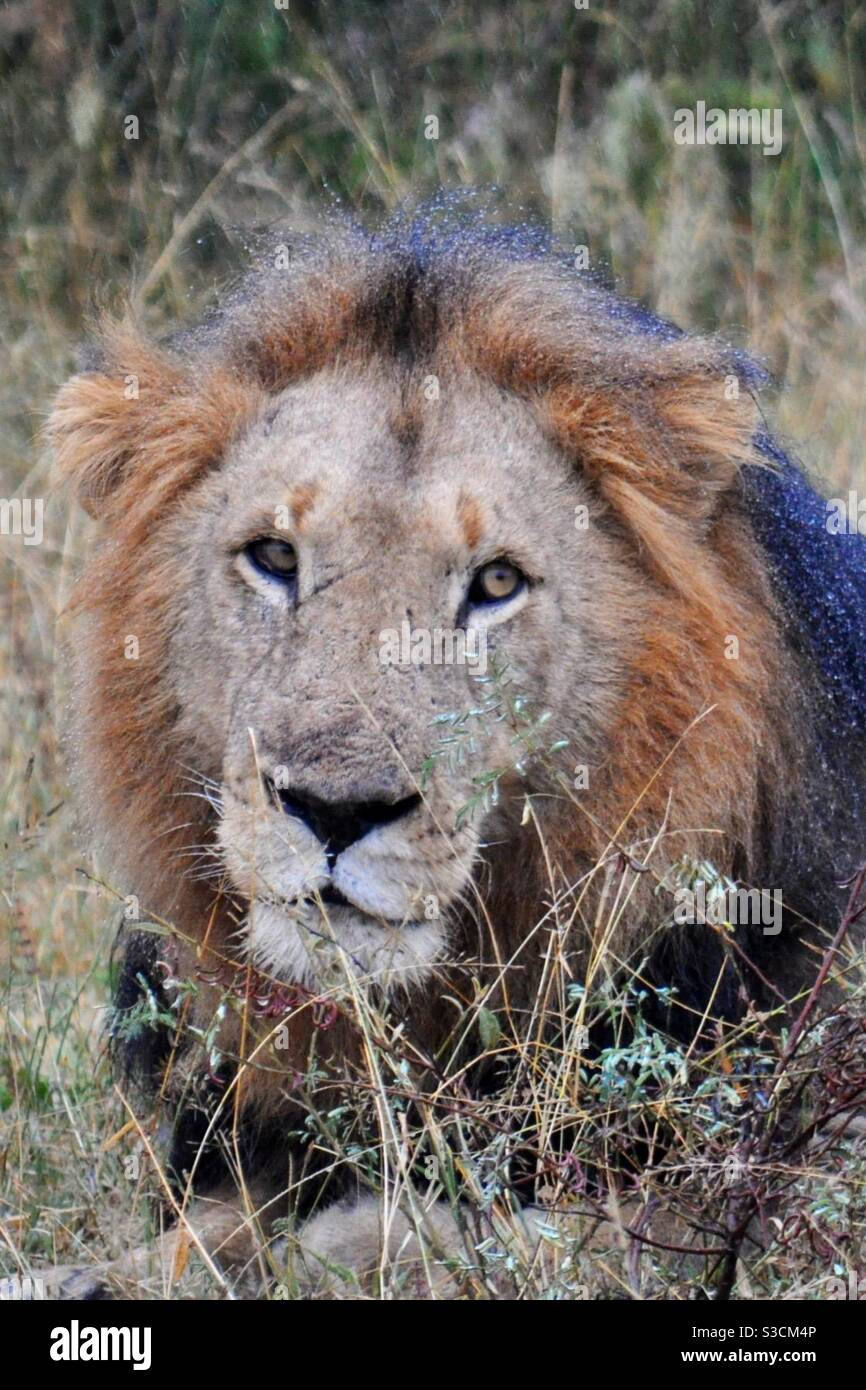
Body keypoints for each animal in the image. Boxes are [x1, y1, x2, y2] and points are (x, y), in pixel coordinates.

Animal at [47, 212, 866, 1298]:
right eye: (274, 557)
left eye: (496, 583)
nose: (336, 810)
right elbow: (201, 1232)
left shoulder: (730, 1200)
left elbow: (460, 1239)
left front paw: (337, 1248)